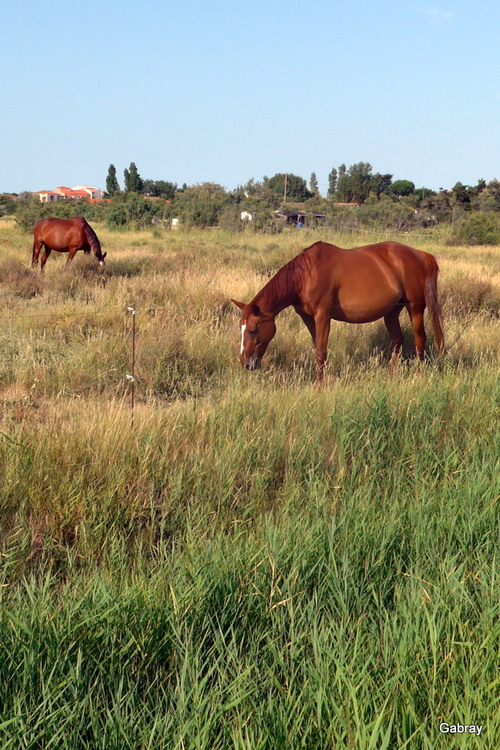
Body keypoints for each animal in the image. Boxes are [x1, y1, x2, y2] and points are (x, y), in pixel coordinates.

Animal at [232, 241, 444, 382]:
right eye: (241, 329)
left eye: (253, 330)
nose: (245, 363)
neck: (306, 276)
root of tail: (422, 255)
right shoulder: (307, 317)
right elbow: (317, 349)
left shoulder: (323, 315)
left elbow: (321, 352)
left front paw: (319, 387)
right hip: (392, 312)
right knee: (397, 341)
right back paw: (390, 377)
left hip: (415, 307)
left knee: (420, 339)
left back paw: (419, 375)